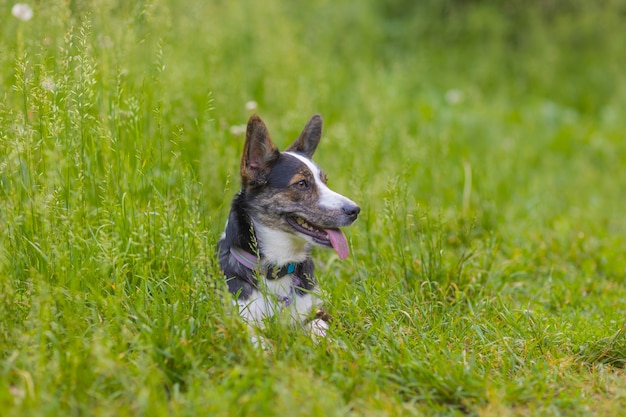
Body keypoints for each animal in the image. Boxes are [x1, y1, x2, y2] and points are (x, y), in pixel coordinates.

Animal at [217, 114, 358, 342]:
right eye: (301, 184)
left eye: (325, 181)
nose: (355, 210)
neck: (278, 267)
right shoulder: (240, 320)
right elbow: (258, 340)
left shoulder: (316, 311)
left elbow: (319, 327)